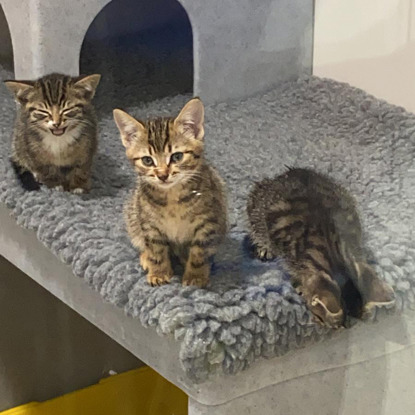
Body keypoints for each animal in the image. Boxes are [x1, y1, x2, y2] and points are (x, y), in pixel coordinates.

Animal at [114, 98, 228, 288]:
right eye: (147, 160)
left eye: (177, 156)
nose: (162, 175)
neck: (172, 198)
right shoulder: (149, 225)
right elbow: (157, 250)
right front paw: (159, 273)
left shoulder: (207, 222)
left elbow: (198, 252)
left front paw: (195, 276)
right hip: (133, 215)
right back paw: (146, 257)